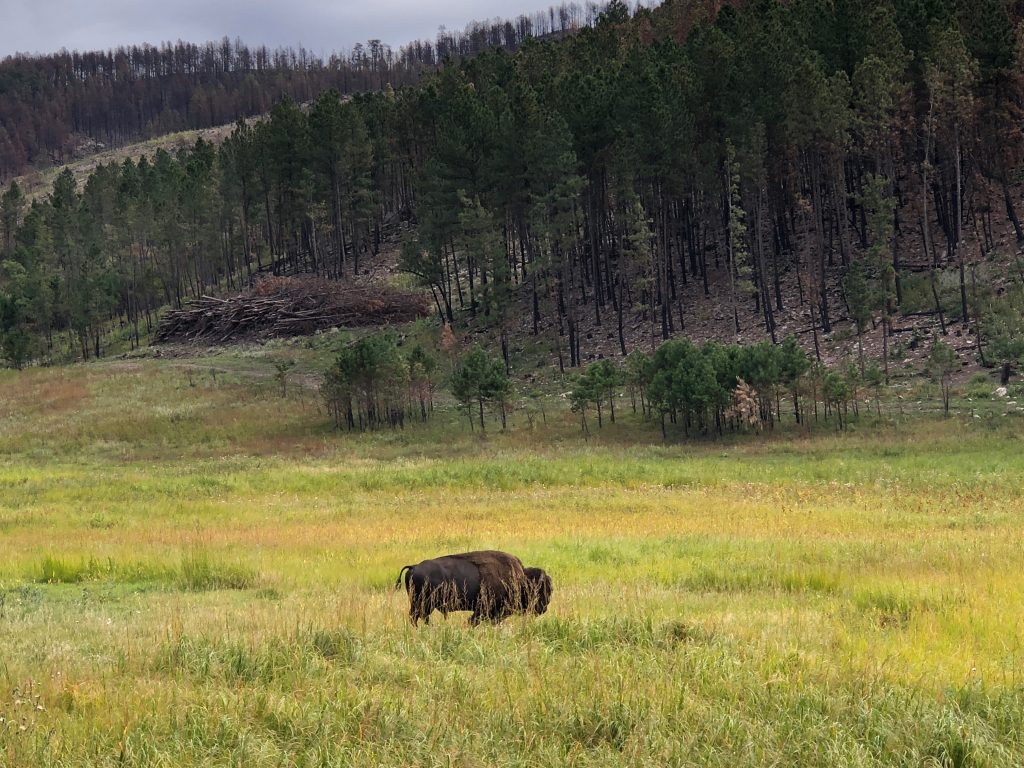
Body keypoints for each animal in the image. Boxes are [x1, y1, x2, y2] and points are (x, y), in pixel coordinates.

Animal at [395, 548, 552, 626]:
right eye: (541, 589)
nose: (543, 608)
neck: (521, 579)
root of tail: (414, 567)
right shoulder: (483, 610)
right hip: (422, 604)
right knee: (418, 618)